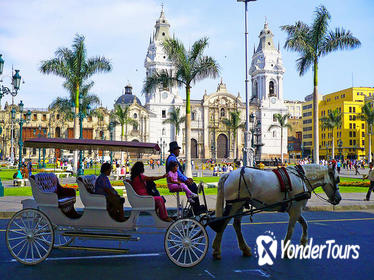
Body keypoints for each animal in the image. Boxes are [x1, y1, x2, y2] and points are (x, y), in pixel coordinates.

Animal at [212, 164, 340, 260]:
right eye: (337, 179)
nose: (338, 198)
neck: (302, 178)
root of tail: (229, 174)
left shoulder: (294, 208)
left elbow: (304, 224)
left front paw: (304, 243)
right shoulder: (295, 209)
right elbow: (291, 229)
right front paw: (287, 251)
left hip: (240, 204)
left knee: (236, 225)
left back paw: (245, 249)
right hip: (235, 204)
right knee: (223, 224)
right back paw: (217, 251)